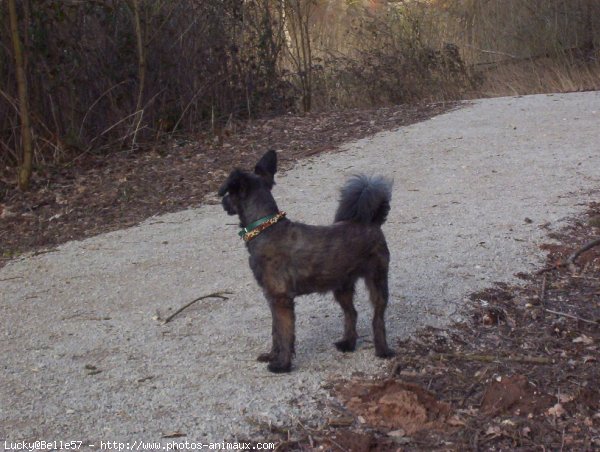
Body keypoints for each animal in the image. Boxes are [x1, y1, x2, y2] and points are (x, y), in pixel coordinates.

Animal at [219, 150, 394, 372]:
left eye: (229, 192)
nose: (223, 202)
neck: (265, 228)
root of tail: (372, 222)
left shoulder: (281, 299)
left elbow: (284, 334)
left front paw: (282, 364)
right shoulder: (272, 298)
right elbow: (275, 332)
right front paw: (272, 356)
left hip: (377, 281)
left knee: (377, 318)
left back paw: (383, 350)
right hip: (341, 287)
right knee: (352, 314)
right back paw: (348, 343)